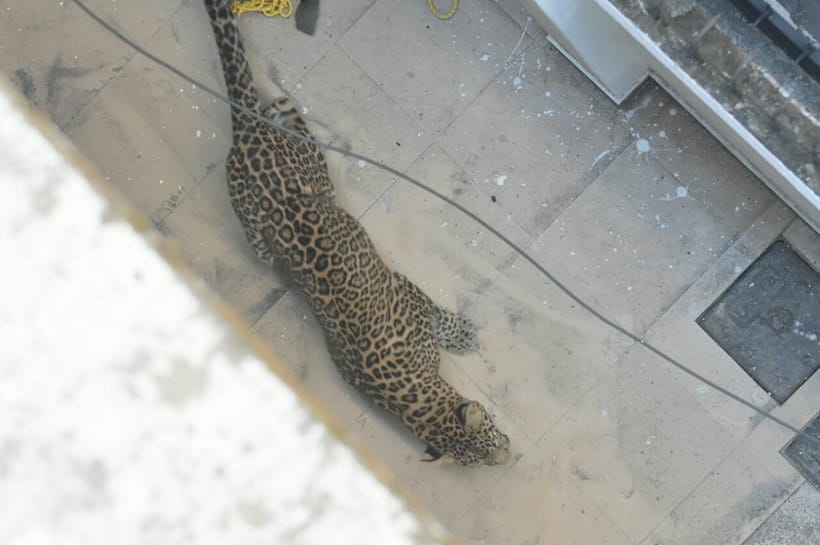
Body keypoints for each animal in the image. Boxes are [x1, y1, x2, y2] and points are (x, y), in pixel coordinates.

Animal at [203, 0, 510, 466]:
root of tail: (246, 135)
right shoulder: (410, 297)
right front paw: (462, 335)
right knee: (289, 113)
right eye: (487, 452)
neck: (415, 396)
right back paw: (290, 115)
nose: (509, 457)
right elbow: (439, 316)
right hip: (313, 175)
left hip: (257, 235)